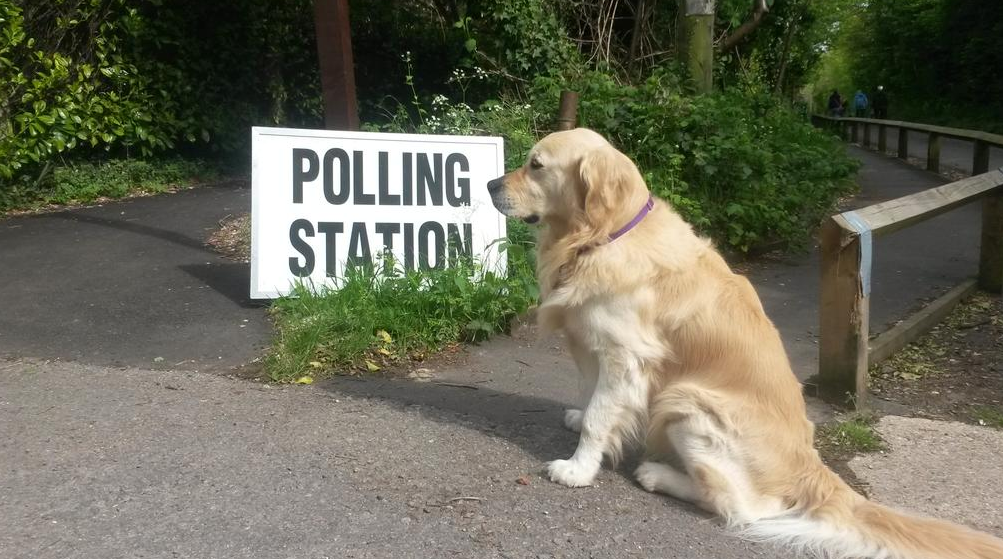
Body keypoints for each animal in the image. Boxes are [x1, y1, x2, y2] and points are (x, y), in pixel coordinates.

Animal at [485, 128, 1003, 553]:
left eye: (536, 164)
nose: (490, 186)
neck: (602, 236)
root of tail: (810, 466)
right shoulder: (595, 344)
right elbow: (592, 397)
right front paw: (578, 419)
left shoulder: (625, 355)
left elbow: (600, 417)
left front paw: (577, 469)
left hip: (686, 400)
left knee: (741, 508)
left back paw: (658, 474)